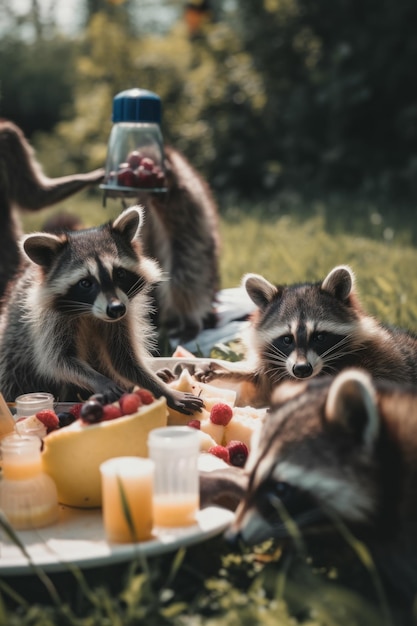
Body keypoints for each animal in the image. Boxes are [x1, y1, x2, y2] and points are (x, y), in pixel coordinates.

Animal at [0, 202, 203, 412]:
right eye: (85, 283)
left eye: (120, 273)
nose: (116, 308)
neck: (90, 313)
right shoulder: (49, 321)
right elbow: (59, 360)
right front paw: (100, 380)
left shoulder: (124, 313)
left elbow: (124, 360)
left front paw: (162, 389)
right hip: (13, 356)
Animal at [197, 264, 416, 404]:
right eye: (287, 339)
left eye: (319, 337)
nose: (301, 369)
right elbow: (260, 381)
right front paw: (230, 370)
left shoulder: (383, 360)